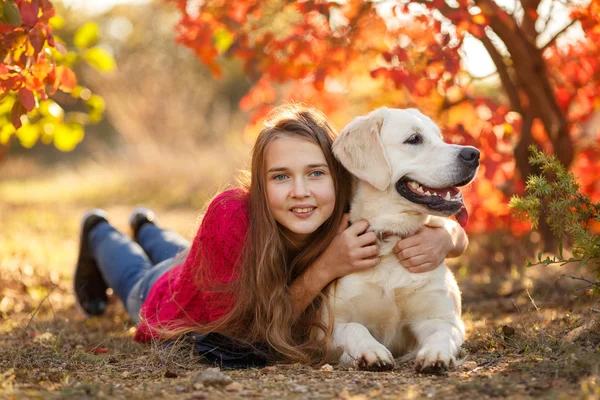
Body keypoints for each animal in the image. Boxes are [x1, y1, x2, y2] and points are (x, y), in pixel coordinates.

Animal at [326, 107, 480, 376]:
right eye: (414, 139)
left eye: (439, 137)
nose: (474, 154)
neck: (391, 236)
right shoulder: (328, 325)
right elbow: (356, 328)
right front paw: (372, 352)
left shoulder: (441, 318)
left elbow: (442, 334)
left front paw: (435, 355)